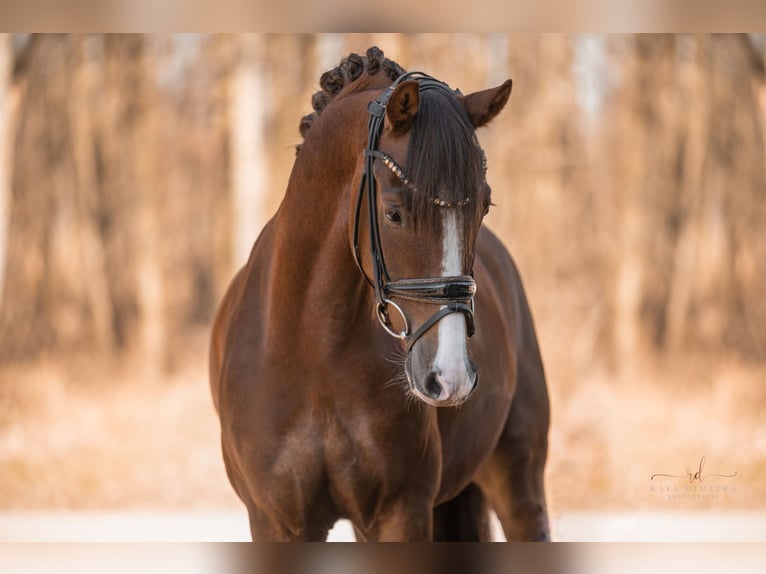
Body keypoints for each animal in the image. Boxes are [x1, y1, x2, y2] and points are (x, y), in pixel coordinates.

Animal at [210, 47, 552, 544]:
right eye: (393, 213)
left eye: (484, 205)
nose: (450, 377)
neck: (314, 354)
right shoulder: (277, 523)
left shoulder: (400, 512)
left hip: (518, 482)